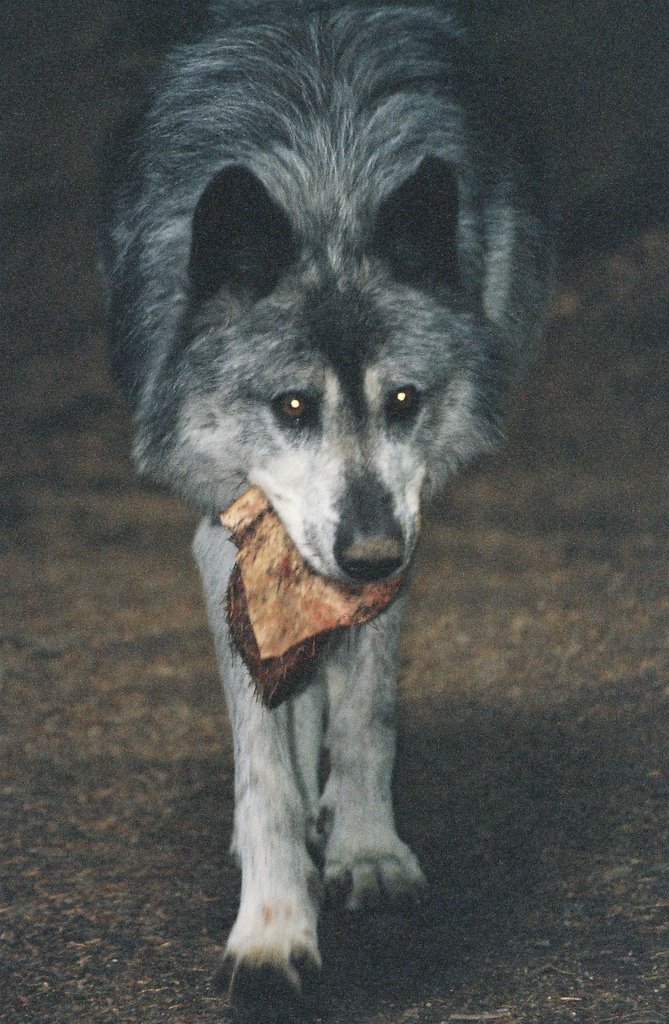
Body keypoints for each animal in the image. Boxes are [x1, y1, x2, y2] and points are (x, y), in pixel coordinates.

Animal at [99, 0, 549, 1015]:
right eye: (293, 406)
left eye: (403, 400)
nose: (370, 554)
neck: (326, 183)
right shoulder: (227, 531)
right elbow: (262, 764)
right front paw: (272, 928)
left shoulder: (400, 528)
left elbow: (365, 712)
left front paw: (367, 851)